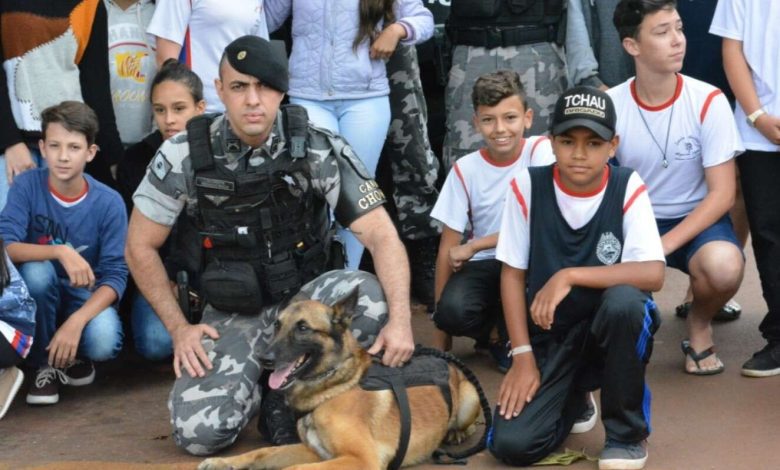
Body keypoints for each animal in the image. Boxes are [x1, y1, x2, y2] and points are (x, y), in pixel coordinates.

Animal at [198, 290, 482, 470]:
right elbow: (263, 452)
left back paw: (456, 433)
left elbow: (295, 469)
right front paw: (223, 463)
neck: (331, 389)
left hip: (470, 399)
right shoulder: (313, 451)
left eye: (303, 328)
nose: (263, 358)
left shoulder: (361, 459)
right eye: (277, 325)